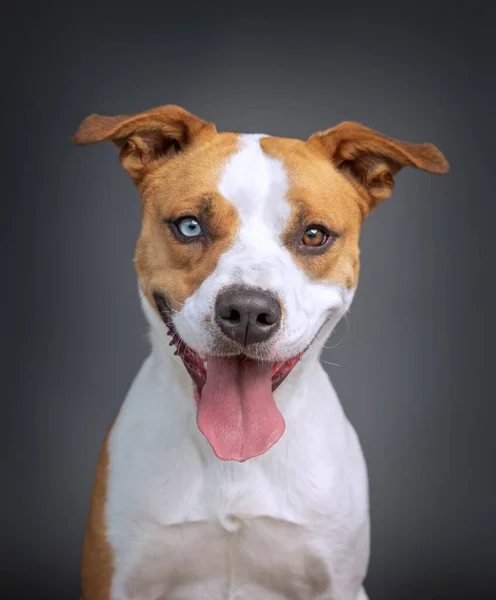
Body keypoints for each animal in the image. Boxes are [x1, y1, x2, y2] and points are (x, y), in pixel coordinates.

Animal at [73, 105, 450, 596]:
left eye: (314, 235)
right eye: (190, 226)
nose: (249, 312)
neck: (235, 461)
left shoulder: (337, 581)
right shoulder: (115, 581)